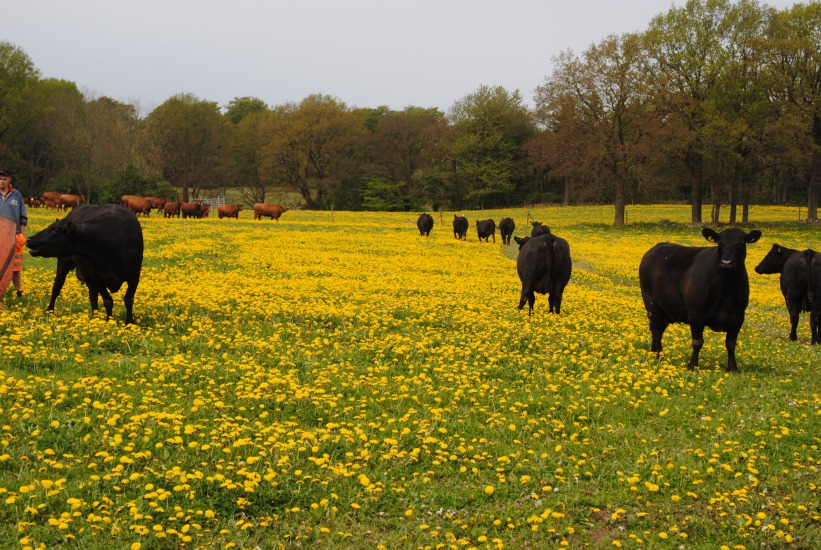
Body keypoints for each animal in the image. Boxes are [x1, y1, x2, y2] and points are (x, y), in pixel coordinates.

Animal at [636, 226, 760, 374]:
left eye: (741, 244)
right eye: (720, 244)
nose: (726, 263)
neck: (726, 290)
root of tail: (655, 248)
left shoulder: (738, 316)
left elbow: (730, 344)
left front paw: (733, 368)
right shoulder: (696, 313)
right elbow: (697, 342)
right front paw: (692, 366)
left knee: (659, 329)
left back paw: (655, 353)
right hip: (650, 301)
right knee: (656, 328)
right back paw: (660, 356)